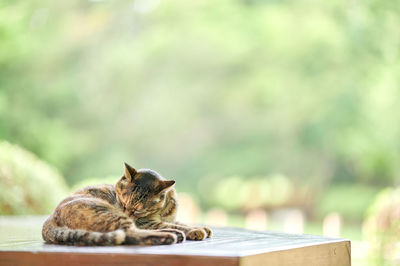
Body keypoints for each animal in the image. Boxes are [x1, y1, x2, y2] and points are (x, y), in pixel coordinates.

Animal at [42, 163, 212, 246]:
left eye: (138, 210)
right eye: (123, 203)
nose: (127, 212)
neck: (162, 211)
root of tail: (50, 218)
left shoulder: (166, 219)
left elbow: (181, 222)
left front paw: (202, 228)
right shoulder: (148, 223)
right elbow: (177, 225)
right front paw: (195, 230)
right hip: (108, 213)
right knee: (129, 233)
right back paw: (170, 235)